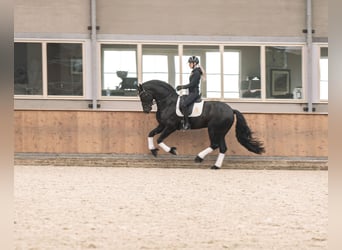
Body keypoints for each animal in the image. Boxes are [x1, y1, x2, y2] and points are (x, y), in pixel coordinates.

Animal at [138, 80, 266, 170]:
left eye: (143, 95)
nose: (146, 110)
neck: (168, 102)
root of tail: (231, 110)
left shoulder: (171, 127)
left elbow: (159, 139)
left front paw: (173, 151)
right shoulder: (162, 125)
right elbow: (150, 134)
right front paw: (153, 150)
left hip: (213, 129)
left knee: (214, 144)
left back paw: (199, 158)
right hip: (221, 132)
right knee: (223, 148)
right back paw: (215, 166)